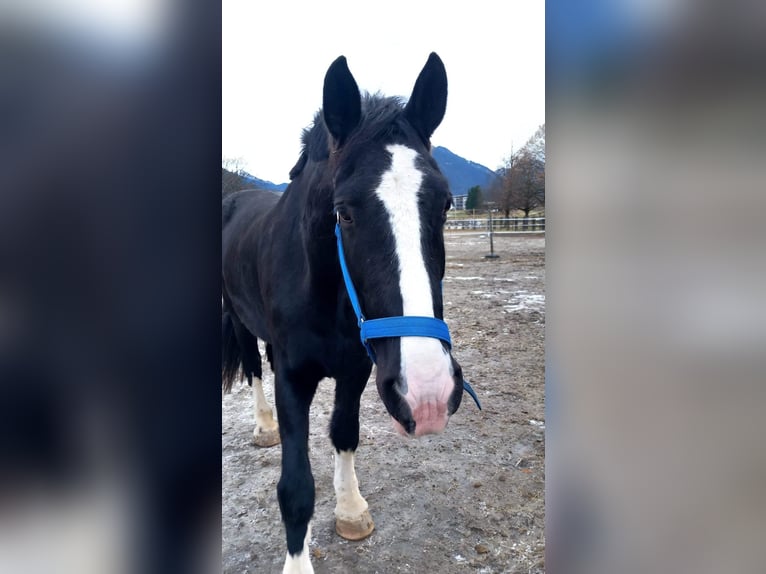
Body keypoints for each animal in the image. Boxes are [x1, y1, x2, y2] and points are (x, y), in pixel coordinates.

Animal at [222, 52, 470, 574]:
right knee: (253, 369)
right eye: (346, 212)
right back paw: (263, 427)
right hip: (237, 321)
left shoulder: (356, 368)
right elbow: (295, 487)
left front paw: (351, 510)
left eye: (444, 204)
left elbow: (345, 433)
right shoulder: (293, 378)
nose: (430, 393)